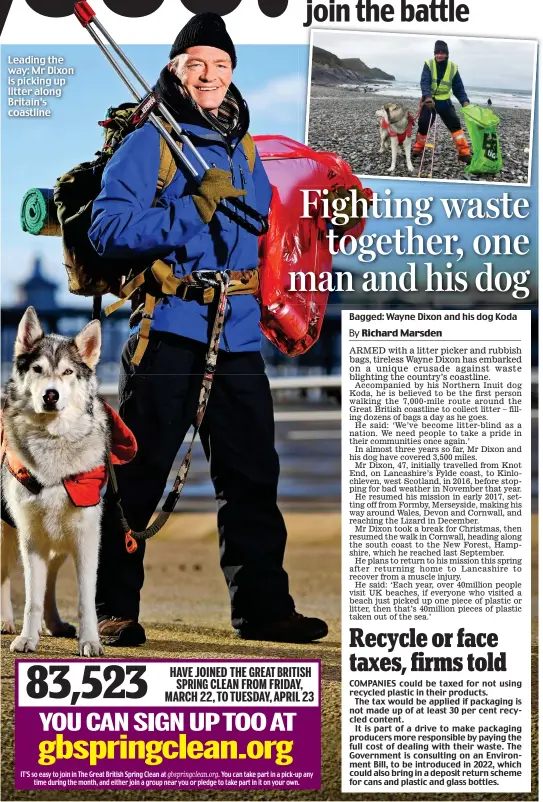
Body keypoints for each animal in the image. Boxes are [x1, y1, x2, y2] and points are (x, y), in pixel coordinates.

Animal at [1, 308, 107, 656]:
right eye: (38, 369)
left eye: (67, 372)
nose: (51, 394)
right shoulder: (31, 536)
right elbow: (30, 598)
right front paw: (26, 638)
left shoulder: (85, 536)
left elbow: (85, 599)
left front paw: (90, 641)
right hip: (8, 531)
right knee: (5, 576)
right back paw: (7, 622)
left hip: (58, 542)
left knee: (49, 584)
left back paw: (55, 624)